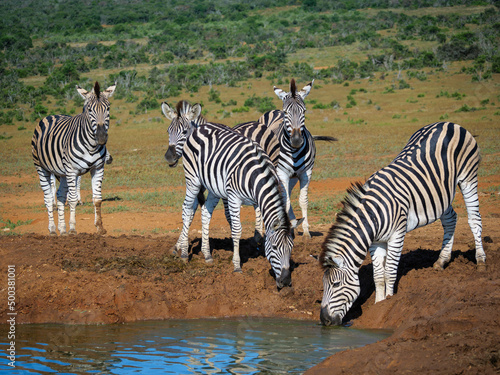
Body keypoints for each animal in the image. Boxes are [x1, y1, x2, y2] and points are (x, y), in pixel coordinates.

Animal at [31, 82, 116, 236]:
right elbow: (72, 199)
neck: (91, 146)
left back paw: (62, 229)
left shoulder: (98, 168)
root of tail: (51, 115)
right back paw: (52, 229)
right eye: (89, 109)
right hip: (41, 168)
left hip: (62, 172)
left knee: (60, 195)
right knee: (48, 198)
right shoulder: (72, 171)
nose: (101, 137)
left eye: (108, 108)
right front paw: (72, 228)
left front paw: (100, 227)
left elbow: (97, 199)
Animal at [179, 120, 296, 288]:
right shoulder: (234, 197)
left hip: (214, 187)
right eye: (274, 247)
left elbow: (259, 225)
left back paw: (207, 255)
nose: (286, 281)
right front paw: (237, 266)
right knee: (187, 209)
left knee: (206, 213)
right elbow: (236, 230)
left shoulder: (258, 200)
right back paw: (183, 253)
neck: (256, 176)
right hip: (192, 179)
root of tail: (200, 127)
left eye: (291, 248)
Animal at [272, 78, 338, 239]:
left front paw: (306, 231)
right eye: (285, 112)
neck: (294, 151)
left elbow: (303, 201)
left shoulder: (305, 173)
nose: (296, 140)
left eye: (304, 111)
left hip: (293, 177)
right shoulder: (282, 173)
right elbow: (286, 201)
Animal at [318, 122, 486, 326]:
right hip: (441, 194)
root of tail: (449, 123)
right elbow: (378, 276)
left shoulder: (397, 234)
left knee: (474, 219)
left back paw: (481, 261)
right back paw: (441, 261)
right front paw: (379, 304)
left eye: (335, 284)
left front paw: (389, 302)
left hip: (468, 178)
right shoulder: (376, 242)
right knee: (450, 219)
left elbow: (389, 271)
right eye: (324, 285)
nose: (324, 320)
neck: (374, 214)